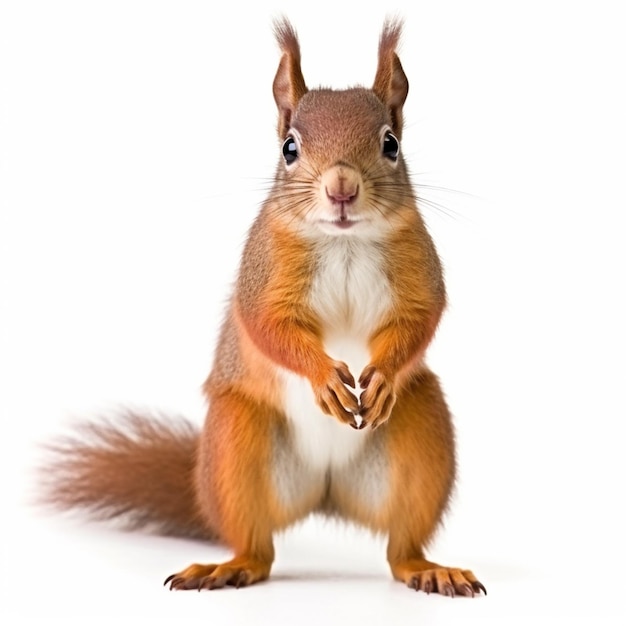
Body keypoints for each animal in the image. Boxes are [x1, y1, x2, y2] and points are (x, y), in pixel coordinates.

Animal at [41, 18, 486, 596]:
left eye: (391, 144)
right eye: (289, 147)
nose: (341, 188)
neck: (343, 242)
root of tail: (326, 494)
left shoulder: (417, 267)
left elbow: (419, 317)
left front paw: (384, 376)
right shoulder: (263, 271)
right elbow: (267, 325)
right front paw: (323, 377)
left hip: (423, 434)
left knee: (399, 546)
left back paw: (428, 568)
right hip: (236, 441)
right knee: (258, 545)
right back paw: (230, 566)